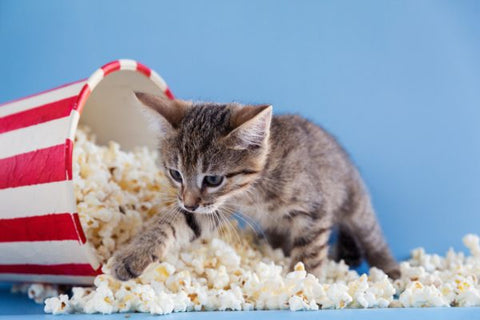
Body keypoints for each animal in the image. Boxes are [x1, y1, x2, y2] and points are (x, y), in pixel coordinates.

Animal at [110, 92, 400, 280]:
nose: (189, 202)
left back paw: (391, 269)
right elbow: (175, 222)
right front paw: (134, 254)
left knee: (372, 235)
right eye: (175, 174)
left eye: (213, 179)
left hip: (357, 204)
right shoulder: (213, 208)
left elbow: (309, 251)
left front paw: (304, 286)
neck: (253, 189)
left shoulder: (314, 210)